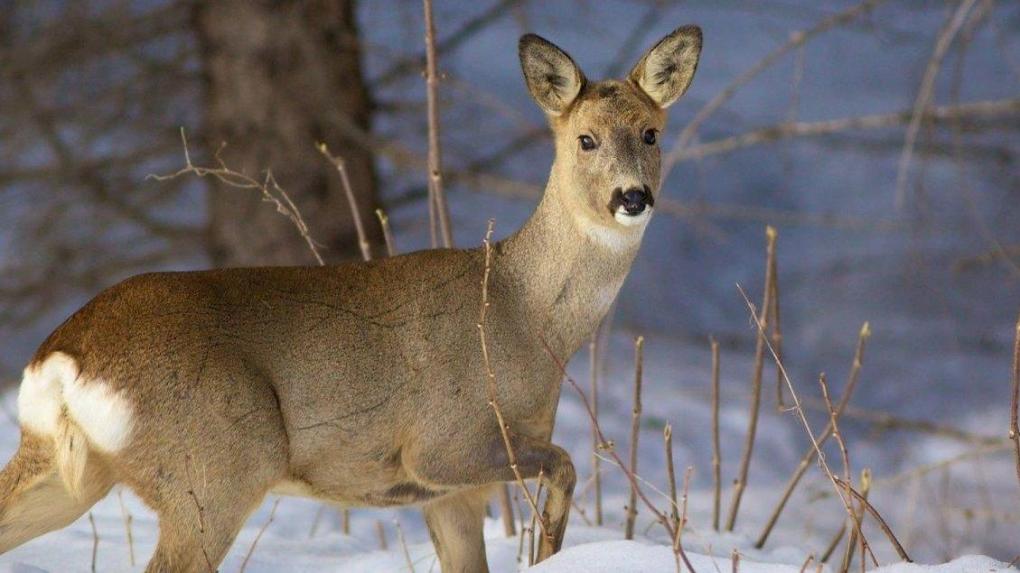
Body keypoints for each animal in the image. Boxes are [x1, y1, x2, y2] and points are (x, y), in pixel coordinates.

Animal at [0, 26, 701, 570]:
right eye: (585, 139)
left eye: (651, 133)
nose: (632, 197)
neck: (525, 315)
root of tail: (65, 356)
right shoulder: (441, 445)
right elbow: (565, 464)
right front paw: (549, 550)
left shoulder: (447, 495)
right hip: (217, 467)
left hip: (66, 469)